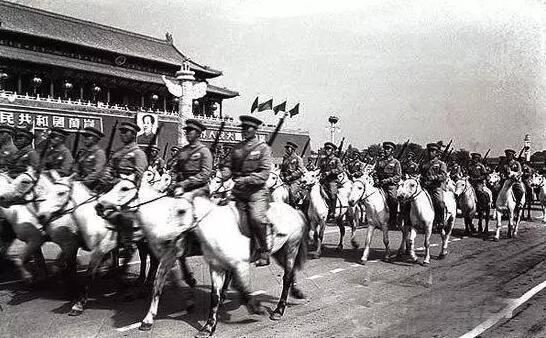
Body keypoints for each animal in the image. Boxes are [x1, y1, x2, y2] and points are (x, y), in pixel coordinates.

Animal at [96, 173, 308, 336]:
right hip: (279, 252)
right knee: (289, 273)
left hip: (291, 248)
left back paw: (279, 309)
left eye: (124, 188)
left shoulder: (171, 255)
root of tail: (296, 211)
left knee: (287, 276)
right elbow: (171, 282)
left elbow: (162, 281)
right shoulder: (174, 256)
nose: (99, 206)